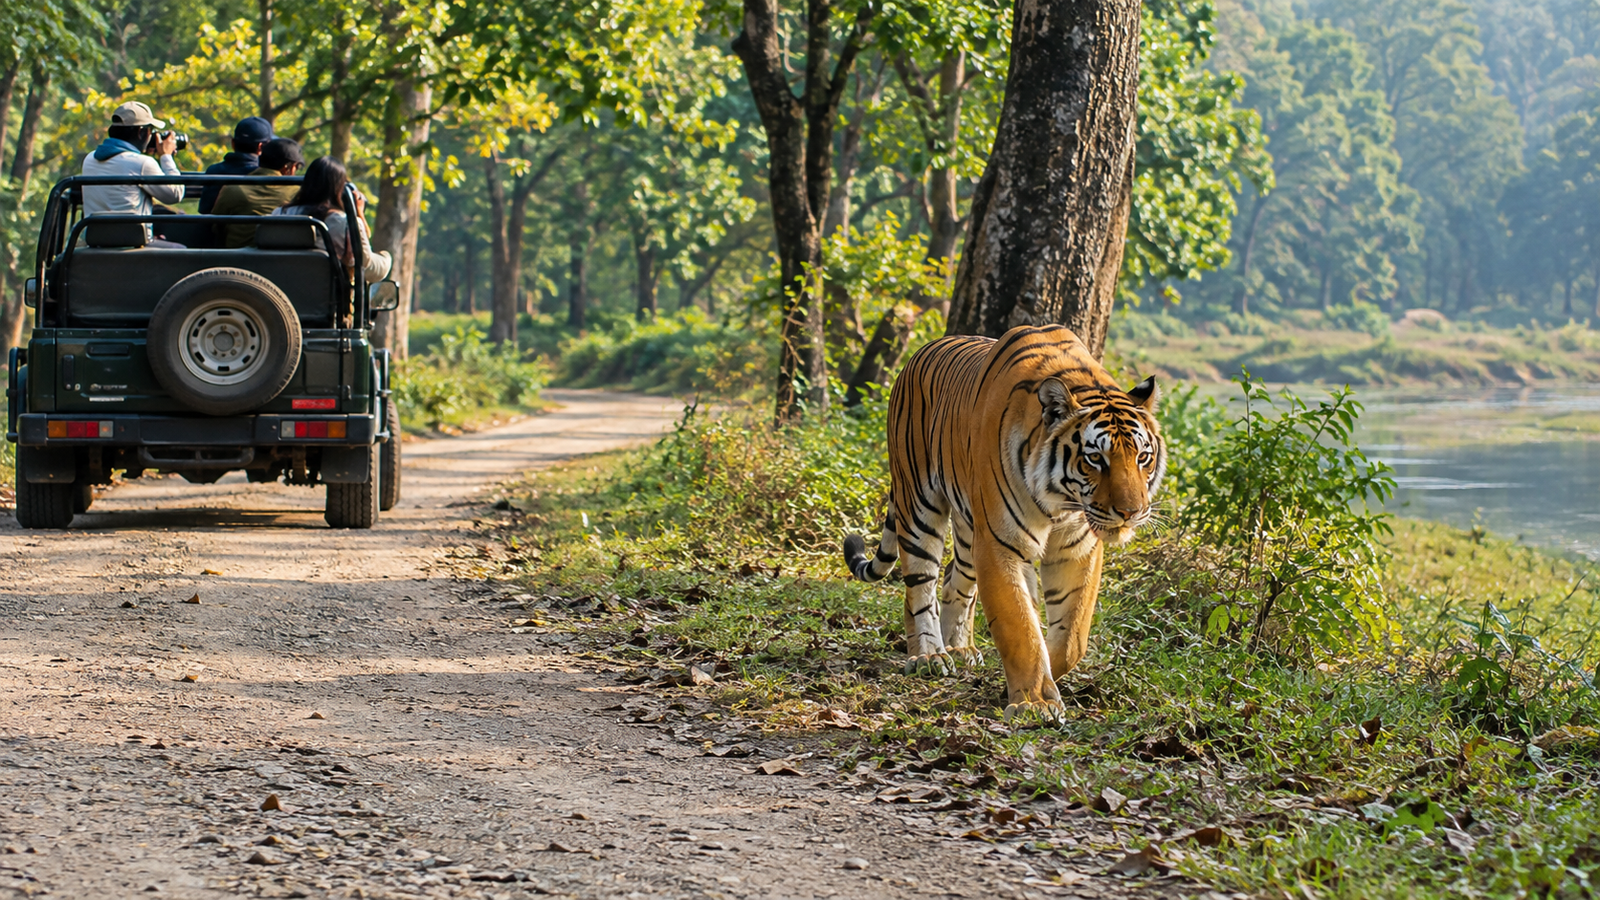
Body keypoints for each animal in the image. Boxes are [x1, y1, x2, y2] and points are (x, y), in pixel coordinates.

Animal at [843, 324, 1166, 724]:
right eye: (1095, 459)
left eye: (1143, 457)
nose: (1131, 512)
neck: (1063, 502)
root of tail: (918, 355)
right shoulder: (1001, 543)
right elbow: (1020, 626)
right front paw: (1034, 702)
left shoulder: (1076, 547)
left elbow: (1071, 636)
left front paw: (1034, 683)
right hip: (918, 502)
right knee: (920, 585)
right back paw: (929, 655)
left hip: (969, 531)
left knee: (954, 580)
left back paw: (961, 649)